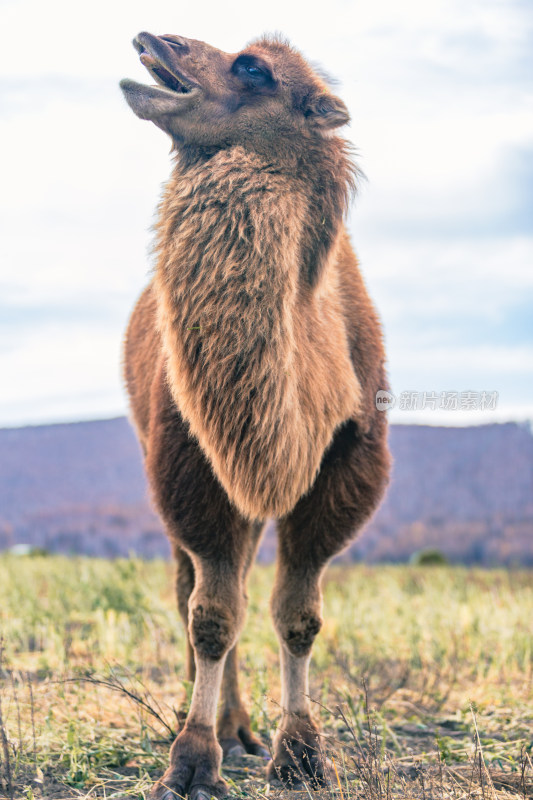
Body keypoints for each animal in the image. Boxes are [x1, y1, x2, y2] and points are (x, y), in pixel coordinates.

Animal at [119, 31, 386, 800]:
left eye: (252, 69)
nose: (154, 38)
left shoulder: (345, 466)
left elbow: (299, 616)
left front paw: (301, 754)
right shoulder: (190, 462)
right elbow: (212, 616)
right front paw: (191, 759)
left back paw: (243, 729)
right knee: (194, 589)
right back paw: (217, 724)